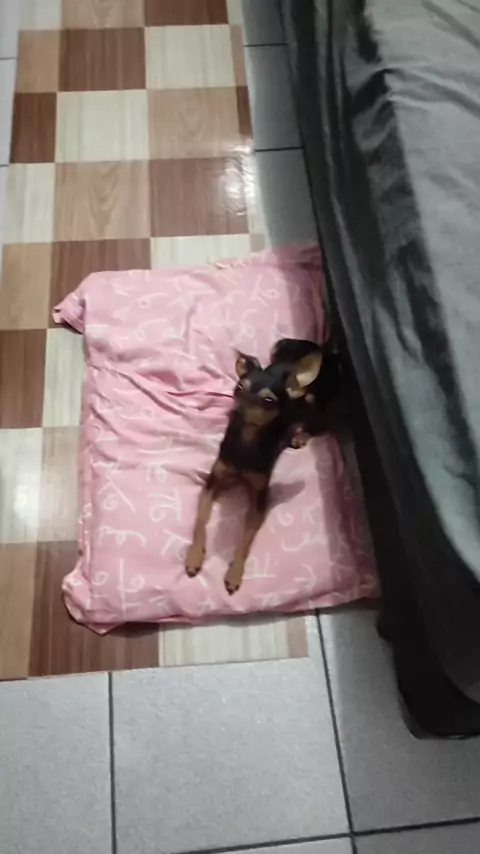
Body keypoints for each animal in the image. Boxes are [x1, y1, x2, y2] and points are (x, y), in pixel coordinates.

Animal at [185, 339, 336, 595]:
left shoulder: (259, 500)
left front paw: (235, 573)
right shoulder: (213, 482)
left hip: (312, 403)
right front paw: (195, 556)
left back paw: (301, 435)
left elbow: (245, 540)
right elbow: (200, 522)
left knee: (322, 423)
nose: (238, 405)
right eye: (239, 386)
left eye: (268, 400)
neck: (246, 439)